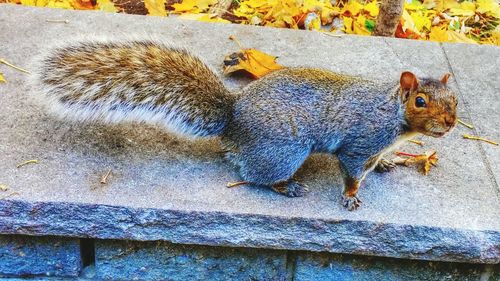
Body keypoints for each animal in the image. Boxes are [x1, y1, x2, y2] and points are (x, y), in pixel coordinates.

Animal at [32, 39, 458, 210]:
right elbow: (352, 171)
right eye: (420, 101)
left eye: (454, 99)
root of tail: (234, 120)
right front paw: (351, 195)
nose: (451, 123)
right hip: (285, 152)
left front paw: (387, 163)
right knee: (253, 174)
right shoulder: (360, 142)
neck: (392, 113)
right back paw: (287, 187)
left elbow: (378, 161)